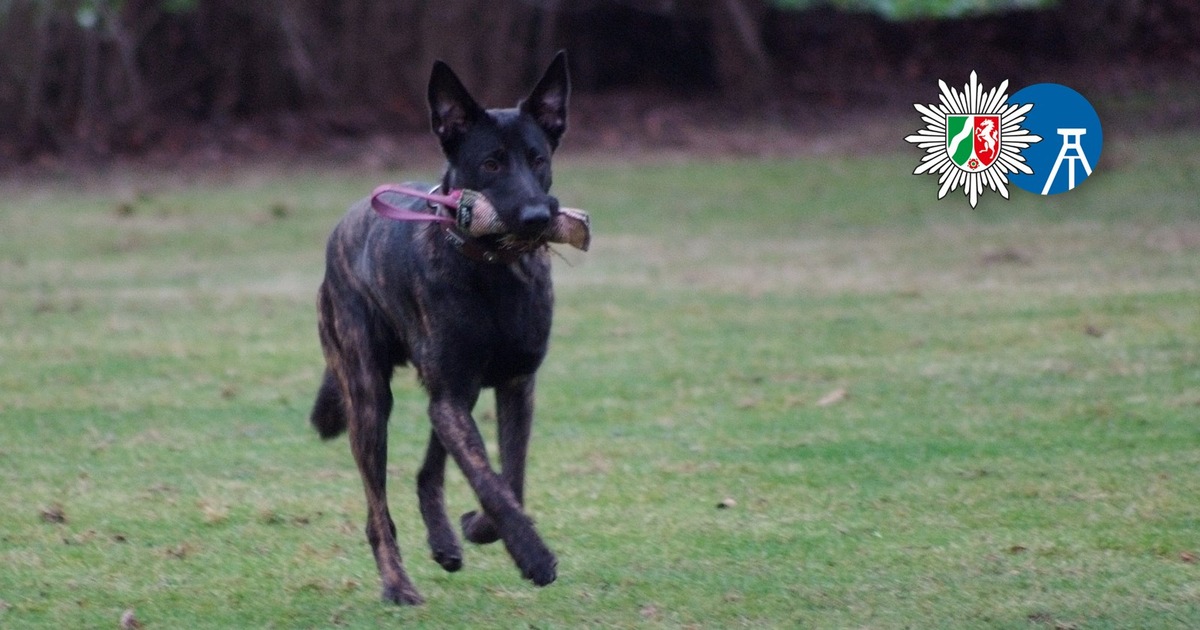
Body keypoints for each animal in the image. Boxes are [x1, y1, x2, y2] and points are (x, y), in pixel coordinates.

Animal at [309, 51, 571, 602]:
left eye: (538, 159)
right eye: (491, 163)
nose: (538, 217)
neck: (492, 269)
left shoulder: (512, 385)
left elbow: (509, 476)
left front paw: (482, 528)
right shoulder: (452, 395)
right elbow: (490, 480)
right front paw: (533, 555)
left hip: (451, 394)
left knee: (427, 470)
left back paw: (445, 539)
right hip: (371, 398)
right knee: (377, 512)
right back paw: (397, 584)